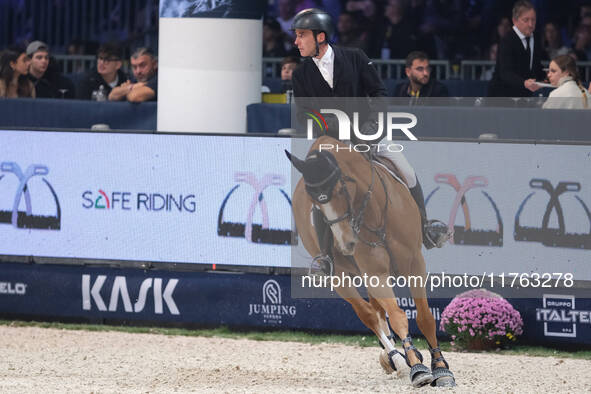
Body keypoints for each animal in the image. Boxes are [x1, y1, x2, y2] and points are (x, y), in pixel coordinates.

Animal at [286, 135, 458, 388]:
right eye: (314, 201)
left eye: (341, 190)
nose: (346, 243)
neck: (375, 212)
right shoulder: (375, 272)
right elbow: (396, 315)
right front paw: (416, 368)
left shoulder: (415, 263)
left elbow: (425, 316)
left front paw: (440, 368)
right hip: (341, 276)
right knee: (369, 314)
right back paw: (397, 360)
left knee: (378, 310)